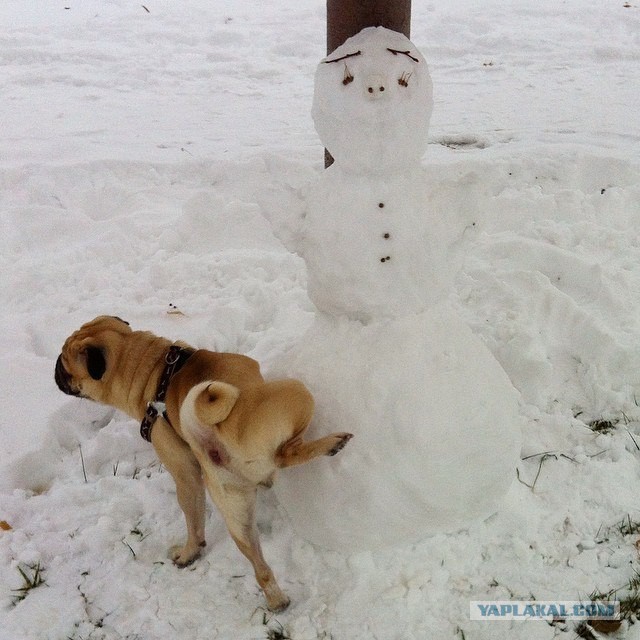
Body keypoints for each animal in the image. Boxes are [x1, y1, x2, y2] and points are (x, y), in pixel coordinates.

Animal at [55, 316, 352, 608]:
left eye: (64, 364)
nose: (55, 369)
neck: (155, 374)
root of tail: (213, 432)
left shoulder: (185, 473)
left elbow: (194, 518)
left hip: (234, 513)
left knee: (256, 564)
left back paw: (274, 599)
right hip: (295, 392)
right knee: (285, 455)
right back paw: (332, 443)